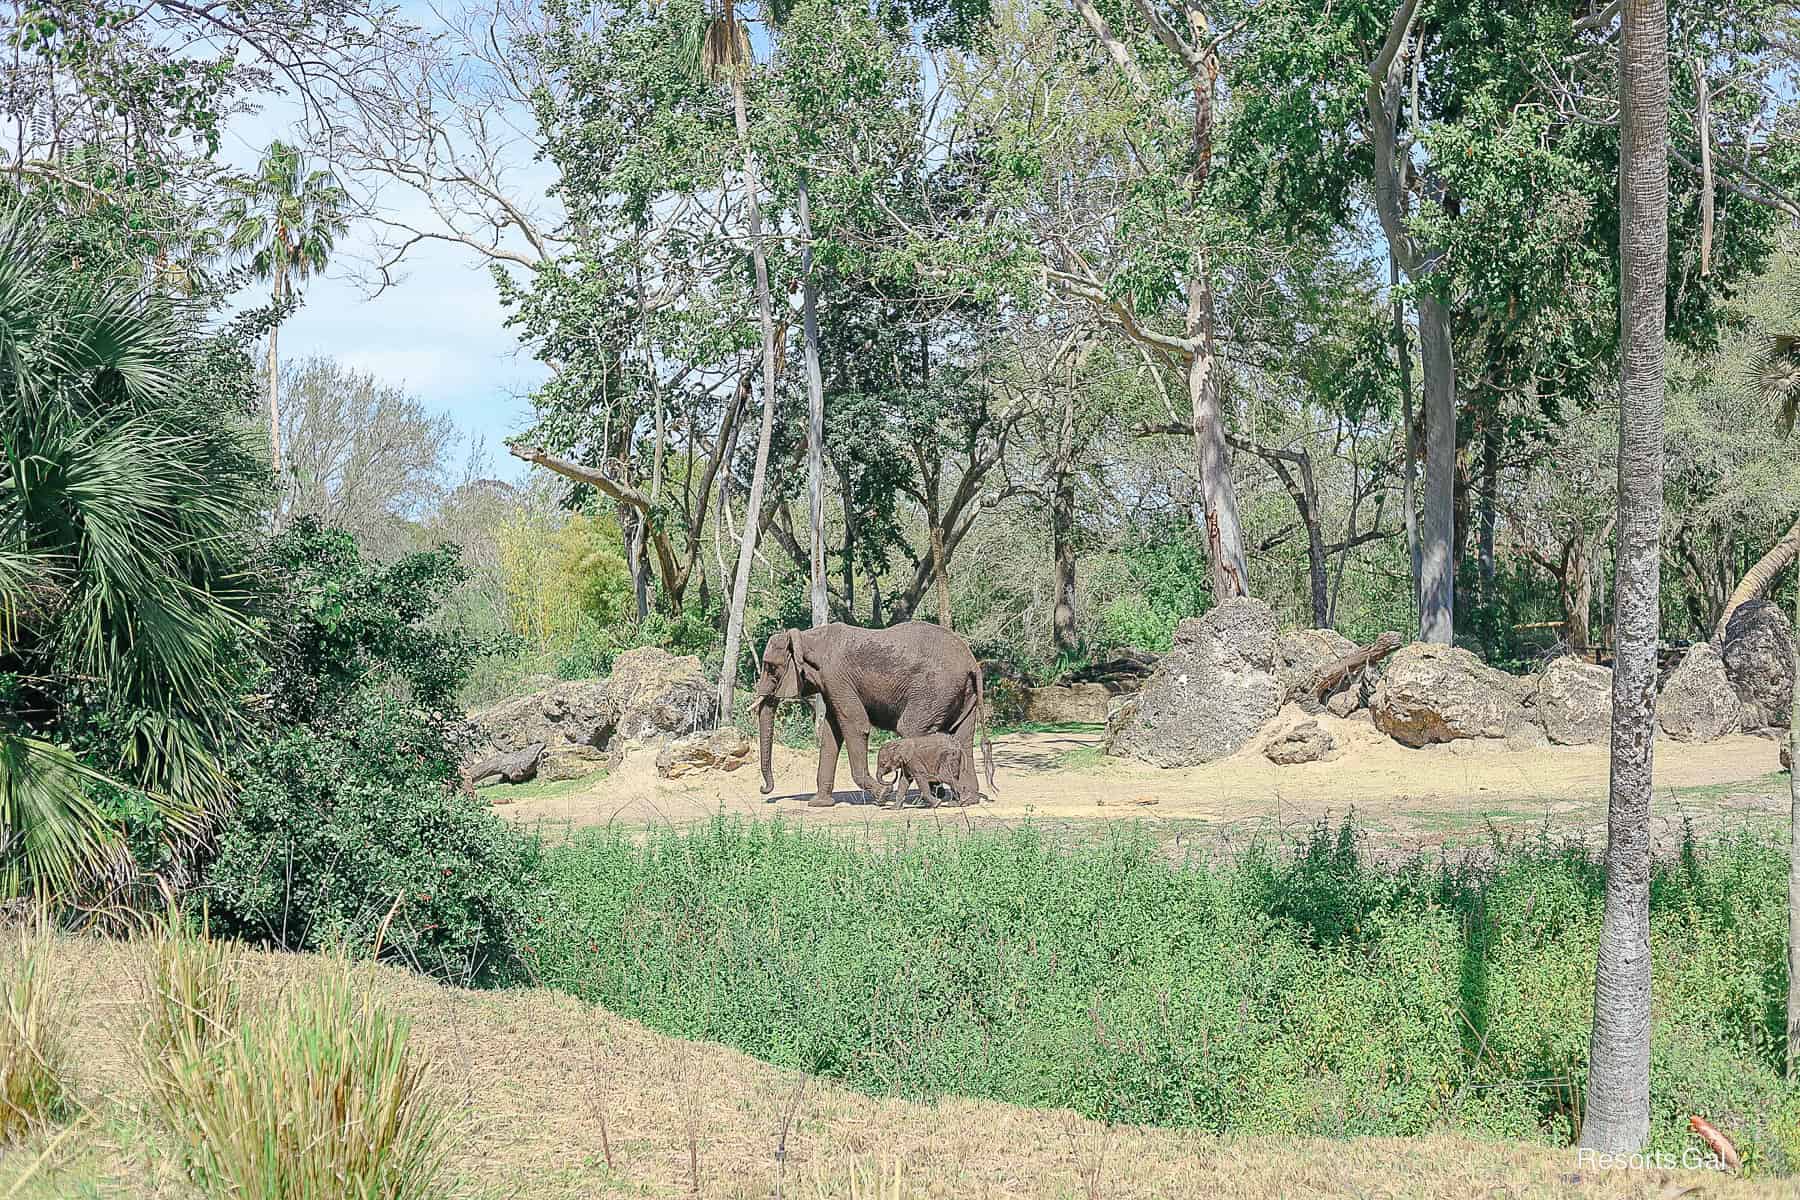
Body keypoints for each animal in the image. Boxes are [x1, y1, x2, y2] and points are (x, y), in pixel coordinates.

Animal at [752, 621, 998, 808]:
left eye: (770, 667)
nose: (764, 789)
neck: (808, 637)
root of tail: (972, 663)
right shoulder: (831, 684)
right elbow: (832, 734)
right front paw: (819, 804)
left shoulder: (836, 677)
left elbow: (855, 725)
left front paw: (882, 795)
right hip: (963, 694)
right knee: (962, 737)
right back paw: (965, 800)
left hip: (935, 690)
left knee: (911, 728)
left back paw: (925, 801)